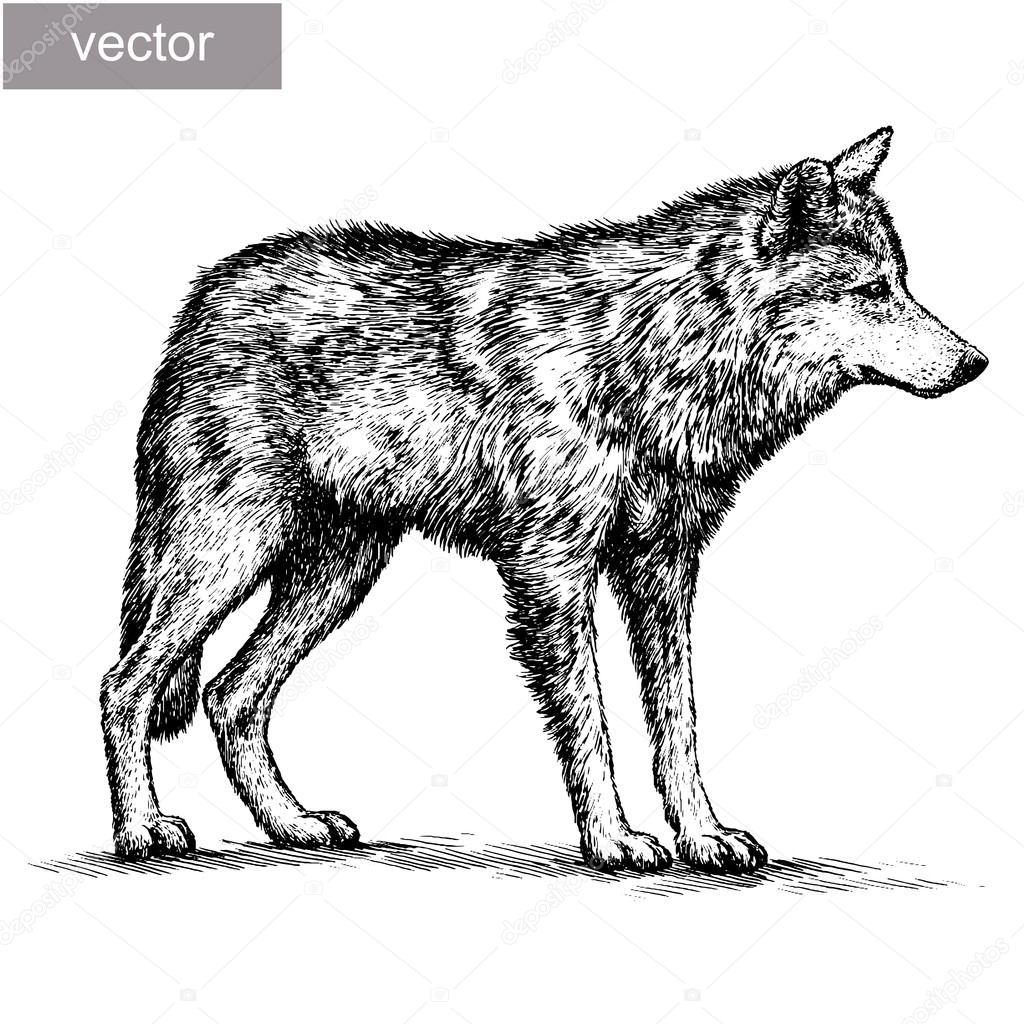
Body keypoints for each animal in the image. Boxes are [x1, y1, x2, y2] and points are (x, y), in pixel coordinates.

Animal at [100, 127, 987, 871]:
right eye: (873, 292)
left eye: (904, 284)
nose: (976, 362)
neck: (651, 351)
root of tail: (204, 296)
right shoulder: (553, 572)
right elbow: (592, 726)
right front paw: (615, 840)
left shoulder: (661, 570)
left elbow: (677, 727)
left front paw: (702, 837)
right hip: (223, 558)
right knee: (127, 685)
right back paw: (142, 832)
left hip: (336, 574)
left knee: (229, 694)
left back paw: (291, 824)